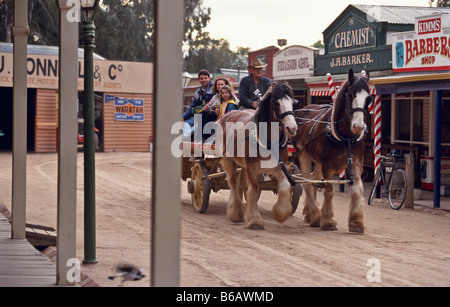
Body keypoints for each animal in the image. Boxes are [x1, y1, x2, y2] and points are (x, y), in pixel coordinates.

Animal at [219, 83, 298, 230]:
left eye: (292, 102)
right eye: (276, 103)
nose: (292, 128)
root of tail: (228, 115)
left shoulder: (279, 168)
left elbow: (285, 186)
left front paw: (281, 213)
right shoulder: (252, 169)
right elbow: (253, 192)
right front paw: (254, 220)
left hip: (243, 166)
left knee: (240, 185)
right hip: (228, 160)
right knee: (233, 182)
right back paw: (236, 211)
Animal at [294, 70, 370, 233]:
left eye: (368, 98)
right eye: (350, 95)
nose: (358, 126)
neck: (345, 137)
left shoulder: (357, 162)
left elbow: (357, 189)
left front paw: (356, 222)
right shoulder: (327, 165)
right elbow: (329, 189)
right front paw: (328, 221)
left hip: (316, 161)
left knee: (314, 180)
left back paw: (310, 213)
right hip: (303, 154)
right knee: (307, 183)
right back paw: (316, 216)